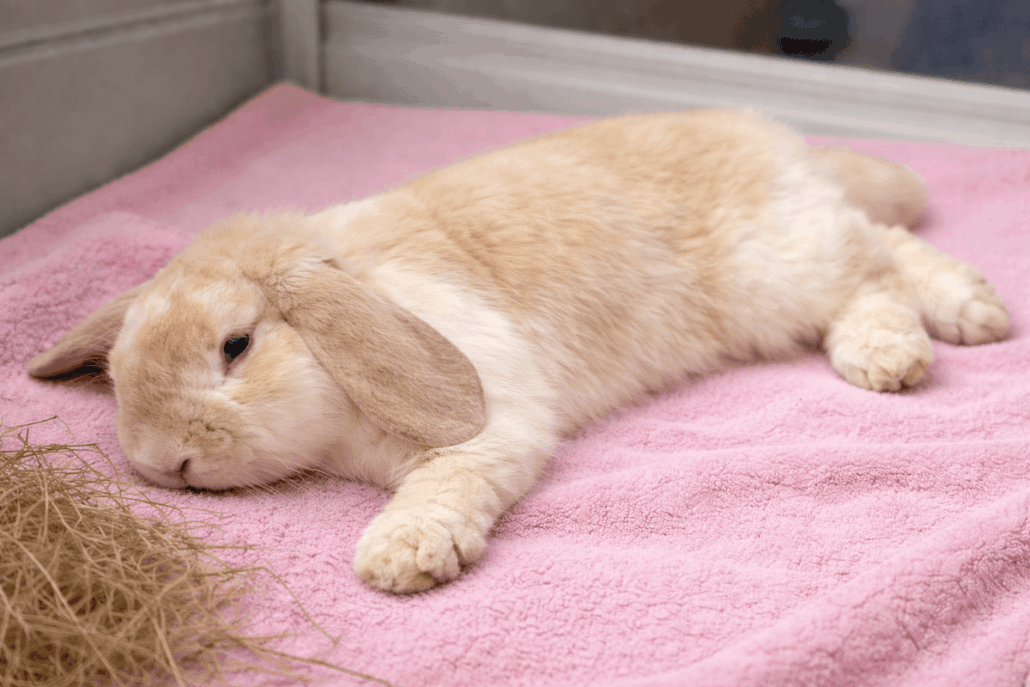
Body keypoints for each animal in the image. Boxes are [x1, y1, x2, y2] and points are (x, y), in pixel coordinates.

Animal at [28, 109, 1009, 593]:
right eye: (119, 374)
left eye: (235, 345)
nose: (165, 463)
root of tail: (777, 140)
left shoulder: (491, 419)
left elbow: (449, 479)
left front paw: (399, 556)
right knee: (877, 250)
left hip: (781, 267)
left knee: (880, 258)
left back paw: (942, 328)